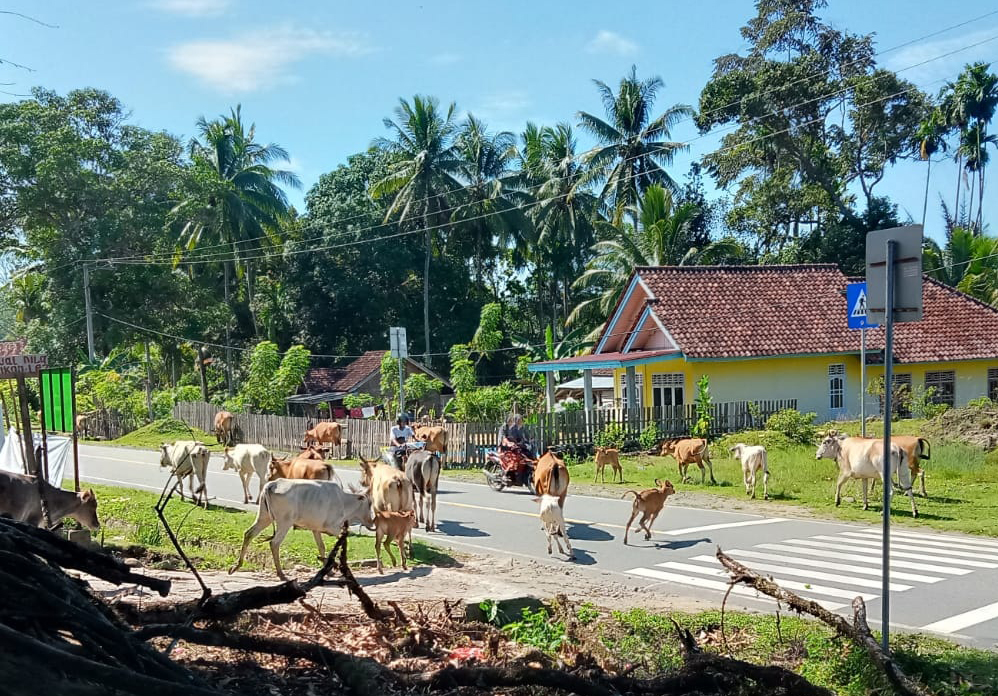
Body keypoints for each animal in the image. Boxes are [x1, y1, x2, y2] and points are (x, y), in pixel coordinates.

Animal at [229, 478, 376, 580]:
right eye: (369, 503)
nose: (371, 522)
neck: (344, 501)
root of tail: (272, 484)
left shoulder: (316, 529)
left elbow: (321, 547)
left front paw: (328, 570)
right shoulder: (333, 527)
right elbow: (341, 542)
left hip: (264, 518)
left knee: (249, 534)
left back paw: (236, 566)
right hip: (285, 522)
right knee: (274, 543)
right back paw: (281, 574)